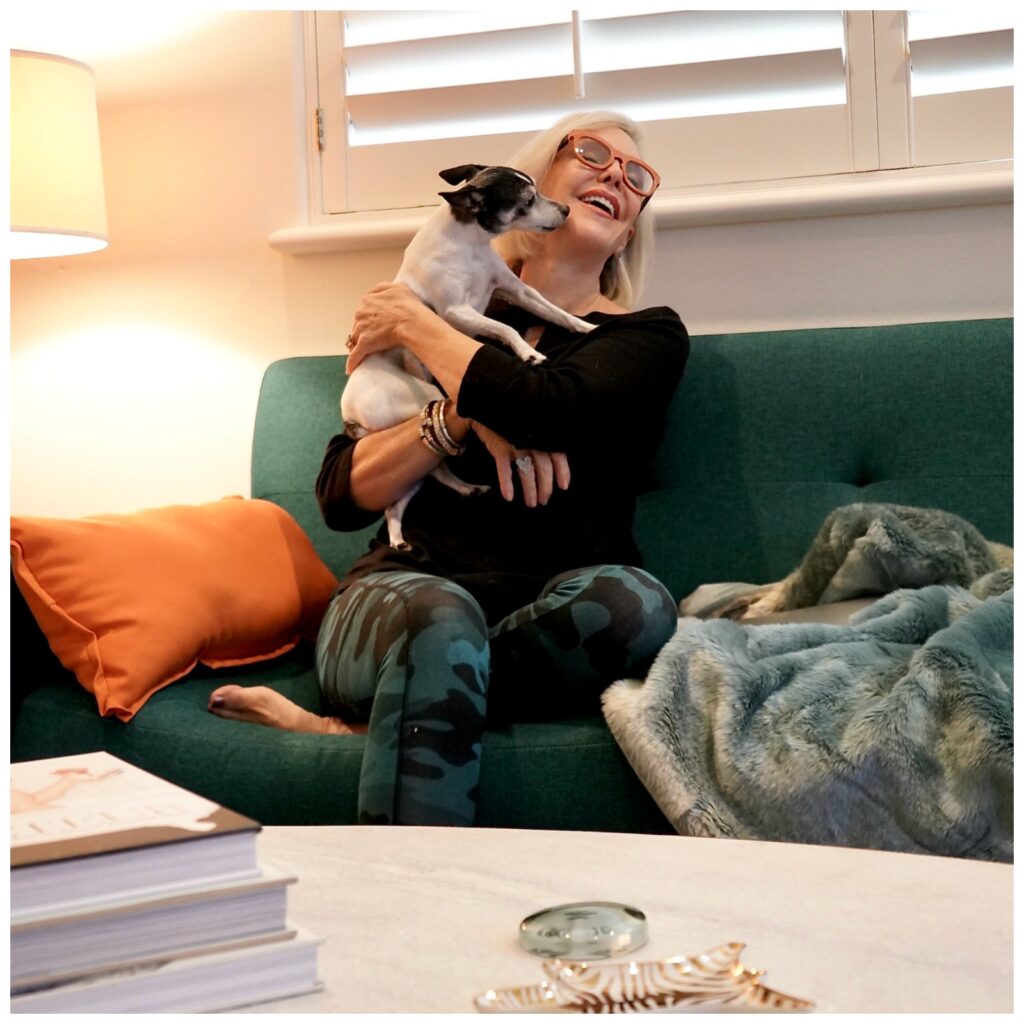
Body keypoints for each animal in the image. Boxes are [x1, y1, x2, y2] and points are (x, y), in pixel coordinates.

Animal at [344, 165, 598, 552]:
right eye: (528, 201)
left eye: (539, 191)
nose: (567, 210)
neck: (471, 246)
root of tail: (350, 413)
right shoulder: (457, 313)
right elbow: (503, 329)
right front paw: (529, 353)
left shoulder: (516, 290)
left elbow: (554, 311)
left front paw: (586, 325)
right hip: (420, 398)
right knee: (430, 467)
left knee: (404, 496)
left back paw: (429, 515)